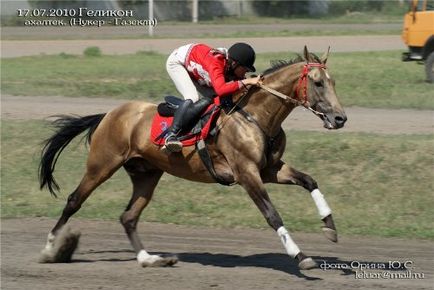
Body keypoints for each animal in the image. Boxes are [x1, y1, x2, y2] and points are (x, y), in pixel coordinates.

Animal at [39, 46, 348, 270]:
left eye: (333, 82)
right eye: (318, 83)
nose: (340, 118)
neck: (256, 116)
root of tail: (110, 114)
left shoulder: (270, 169)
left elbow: (309, 181)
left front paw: (330, 228)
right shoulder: (247, 173)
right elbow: (272, 215)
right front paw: (301, 256)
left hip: (146, 173)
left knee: (128, 217)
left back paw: (149, 259)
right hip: (102, 164)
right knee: (74, 200)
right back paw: (50, 248)